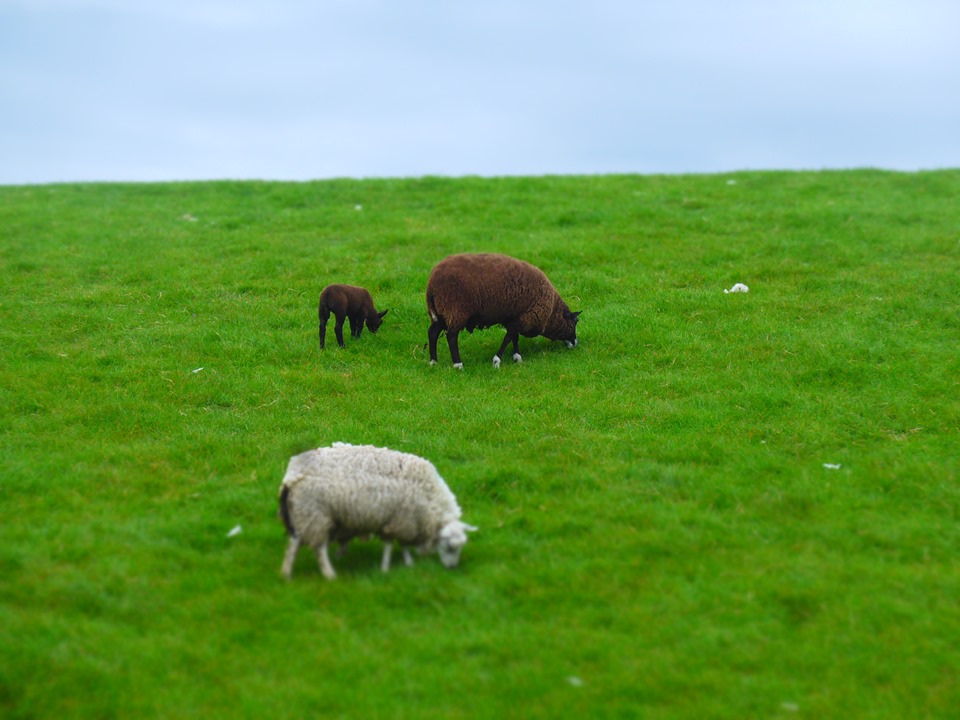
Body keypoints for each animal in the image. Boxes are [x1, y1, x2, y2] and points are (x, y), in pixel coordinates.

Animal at [278, 442, 476, 584]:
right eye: (449, 546)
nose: (452, 568)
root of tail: (291, 476)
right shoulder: (402, 519)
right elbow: (393, 544)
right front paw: (389, 567)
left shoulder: (397, 520)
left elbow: (398, 544)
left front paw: (405, 564)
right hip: (314, 515)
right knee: (318, 550)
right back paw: (329, 574)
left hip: (303, 516)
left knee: (293, 545)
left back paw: (286, 573)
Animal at [426, 253, 576, 368]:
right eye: (575, 323)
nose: (575, 343)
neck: (551, 312)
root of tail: (431, 284)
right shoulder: (526, 317)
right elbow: (508, 337)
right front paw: (497, 361)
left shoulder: (515, 317)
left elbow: (514, 337)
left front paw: (517, 357)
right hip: (455, 310)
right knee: (451, 336)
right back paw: (458, 364)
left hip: (442, 312)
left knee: (433, 332)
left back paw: (433, 362)